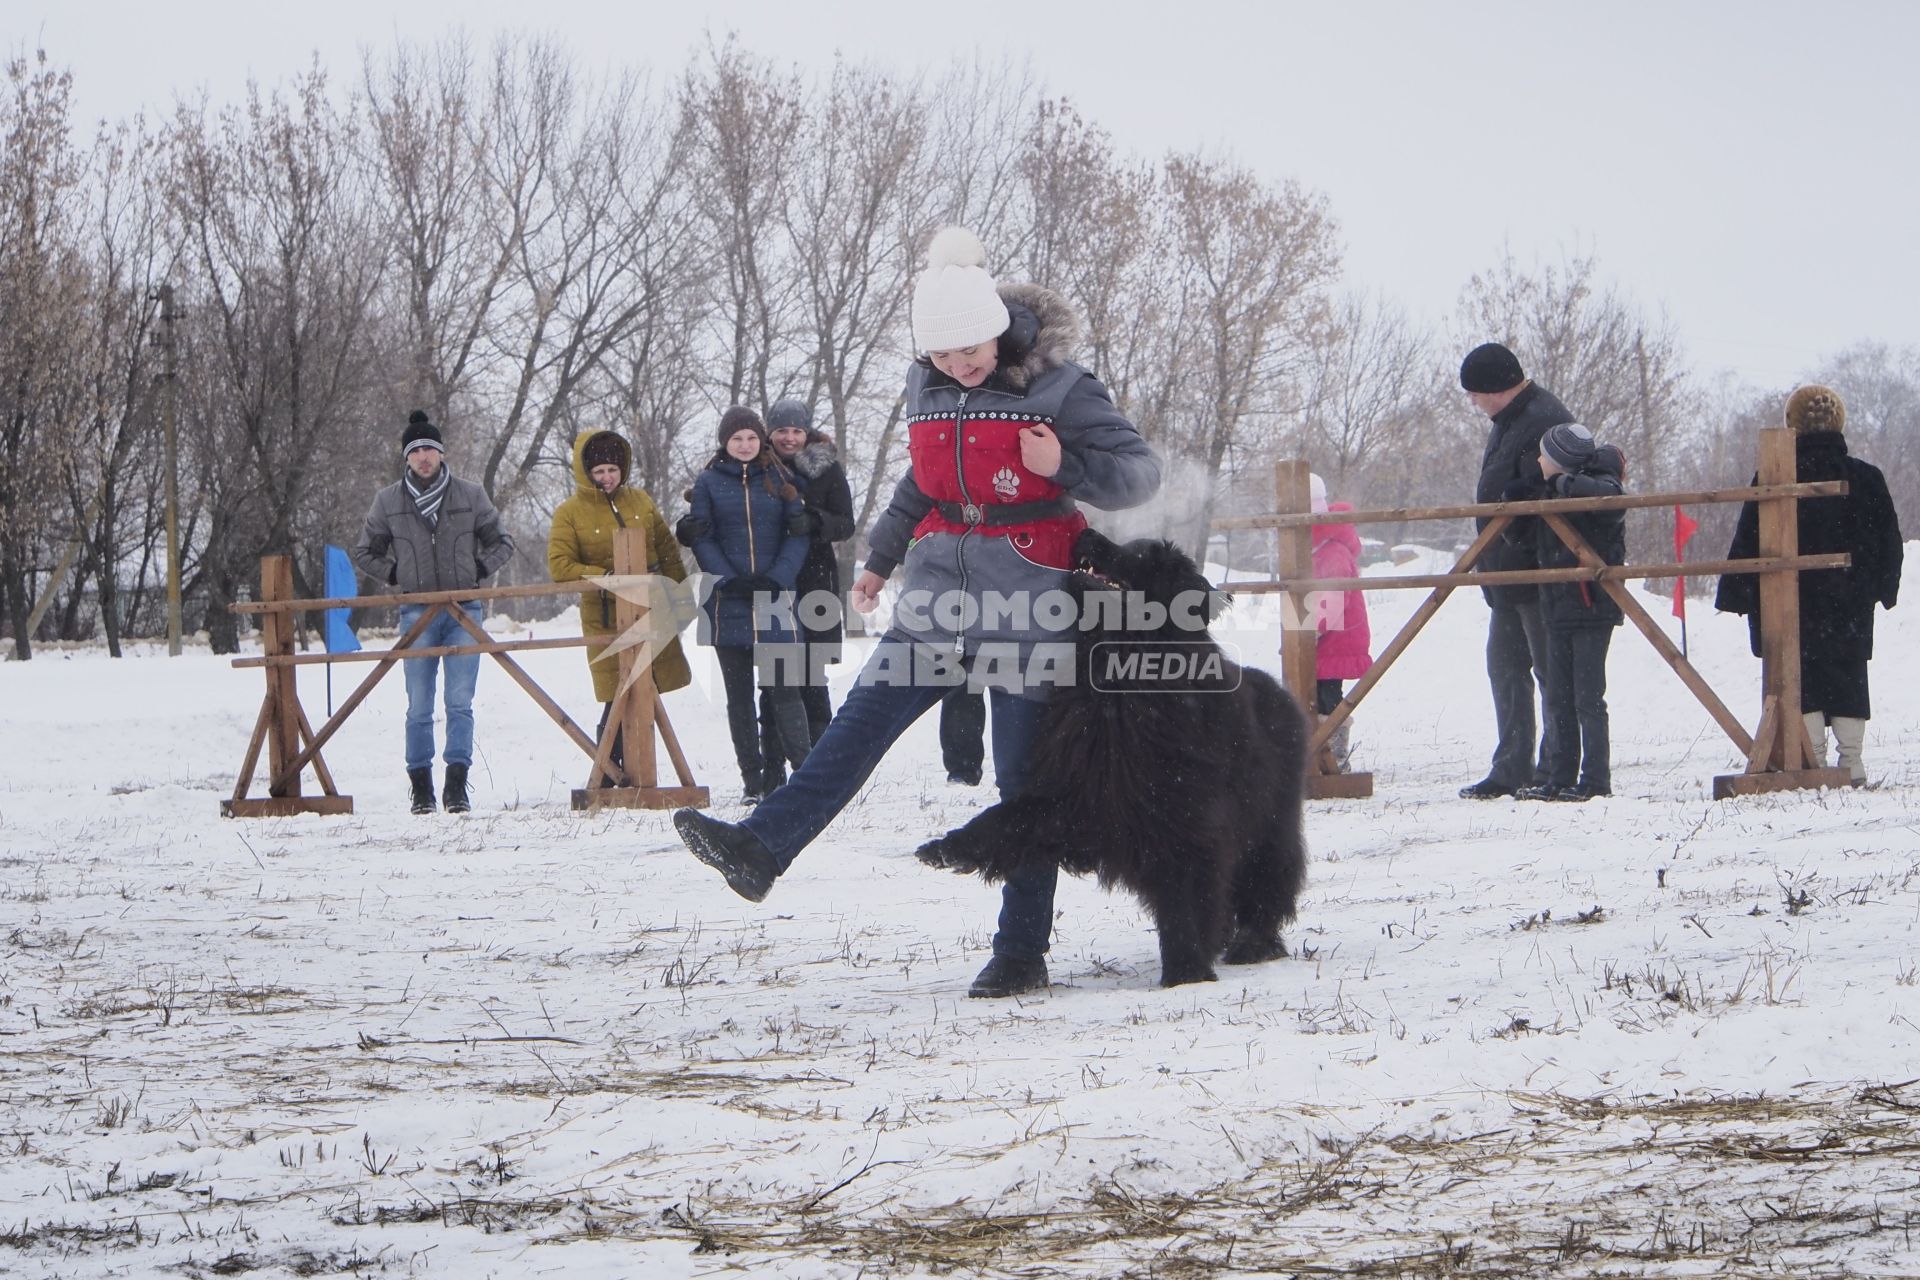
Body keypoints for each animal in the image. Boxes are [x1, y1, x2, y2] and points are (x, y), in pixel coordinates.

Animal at [910, 525, 1305, 990]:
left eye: (1143, 557)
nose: (1086, 532)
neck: (1118, 669)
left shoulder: (1186, 818)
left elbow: (1185, 901)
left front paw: (1186, 972)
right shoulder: (1073, 793)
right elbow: (1009, 818)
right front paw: (947, 848)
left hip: (1270, 825)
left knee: (1268, 883)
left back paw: (1254, 944)